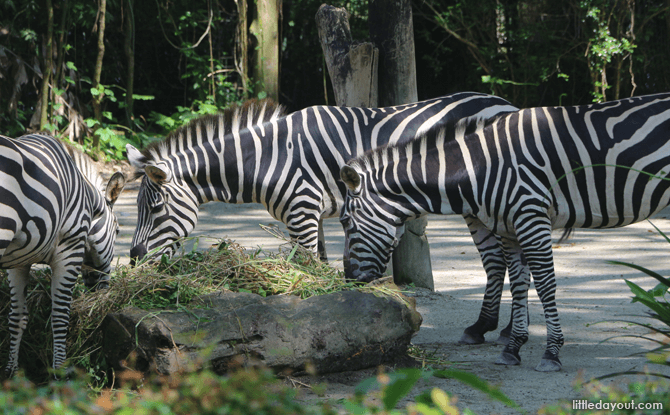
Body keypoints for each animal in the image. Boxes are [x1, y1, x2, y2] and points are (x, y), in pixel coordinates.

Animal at [0, 135, 126, 378]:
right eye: (117, 231)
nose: (102, 293)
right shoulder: (70, 249)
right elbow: (60, 316)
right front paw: (60, 373)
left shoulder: (17, 262)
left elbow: (17, 317)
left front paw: (11, 372)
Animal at [342, 92, 670, 372]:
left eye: (346, 221)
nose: (349, 281)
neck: (481, 167)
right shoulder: (511, 226)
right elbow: (520, 282)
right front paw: (513, 347)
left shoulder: (530, 215)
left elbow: (545, 284)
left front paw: (551, 352)